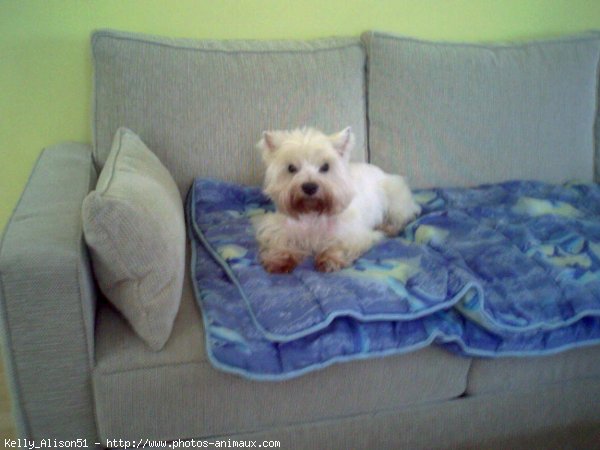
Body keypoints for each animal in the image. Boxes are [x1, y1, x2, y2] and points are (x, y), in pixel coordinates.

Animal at [254, 126, 422, 274]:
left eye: (325, 167)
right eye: (291, 168)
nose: (309, 187)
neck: (312, 212)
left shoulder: (354, 234)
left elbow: (340, 244)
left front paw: (329, 260)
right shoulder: (279, 229)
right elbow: (279, 242)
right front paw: (280, 260)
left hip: (395, 197)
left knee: (402, 217)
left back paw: (388, 227)